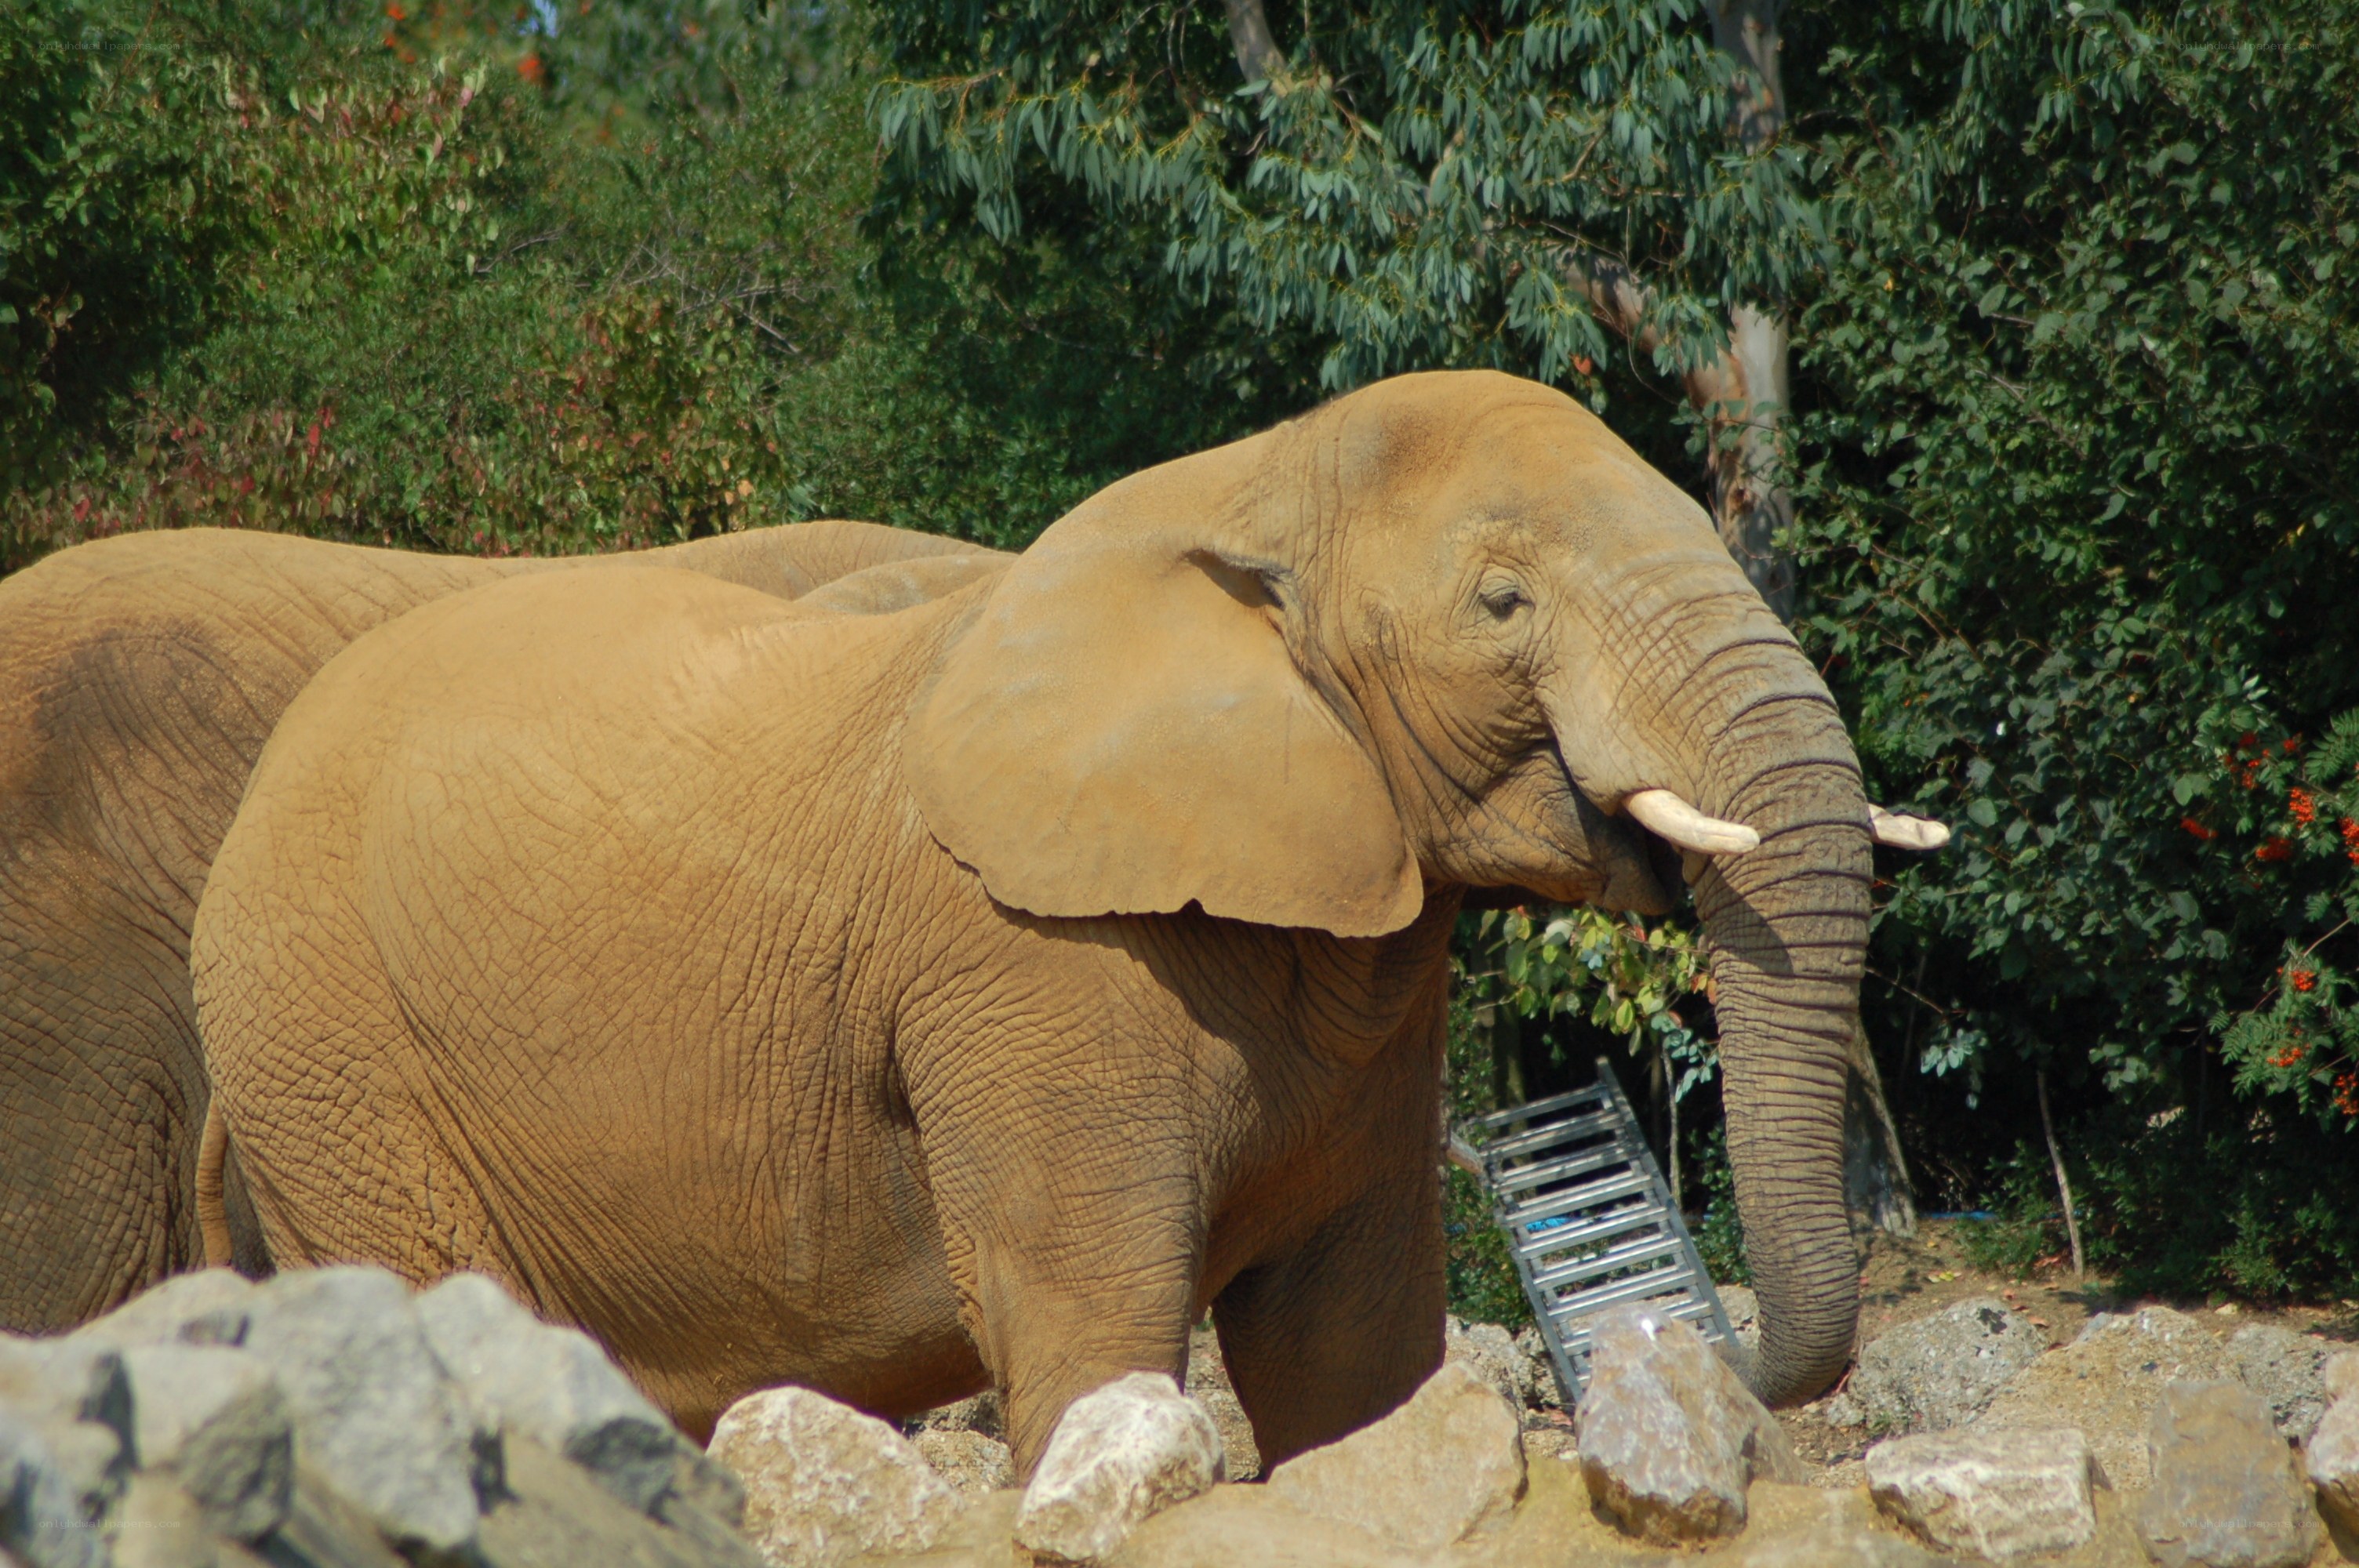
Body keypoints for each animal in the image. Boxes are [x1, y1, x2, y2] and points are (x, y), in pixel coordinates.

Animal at [188, 370, 1944, 1473]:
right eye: (1503, 603)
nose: (1699, 1352)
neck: (1260, 476)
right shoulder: (1027, 964)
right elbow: (1089, 1322)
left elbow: (1345, 1350)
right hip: (330, 1064)